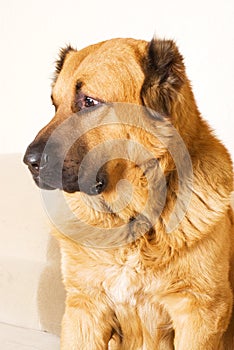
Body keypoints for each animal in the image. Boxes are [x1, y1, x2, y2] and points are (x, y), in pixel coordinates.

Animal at [22, 37, 233, 348]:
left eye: (89, 102)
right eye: (54, 104)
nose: (30, 163)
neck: (132, 219)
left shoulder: (200, 313)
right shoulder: (84, 310)